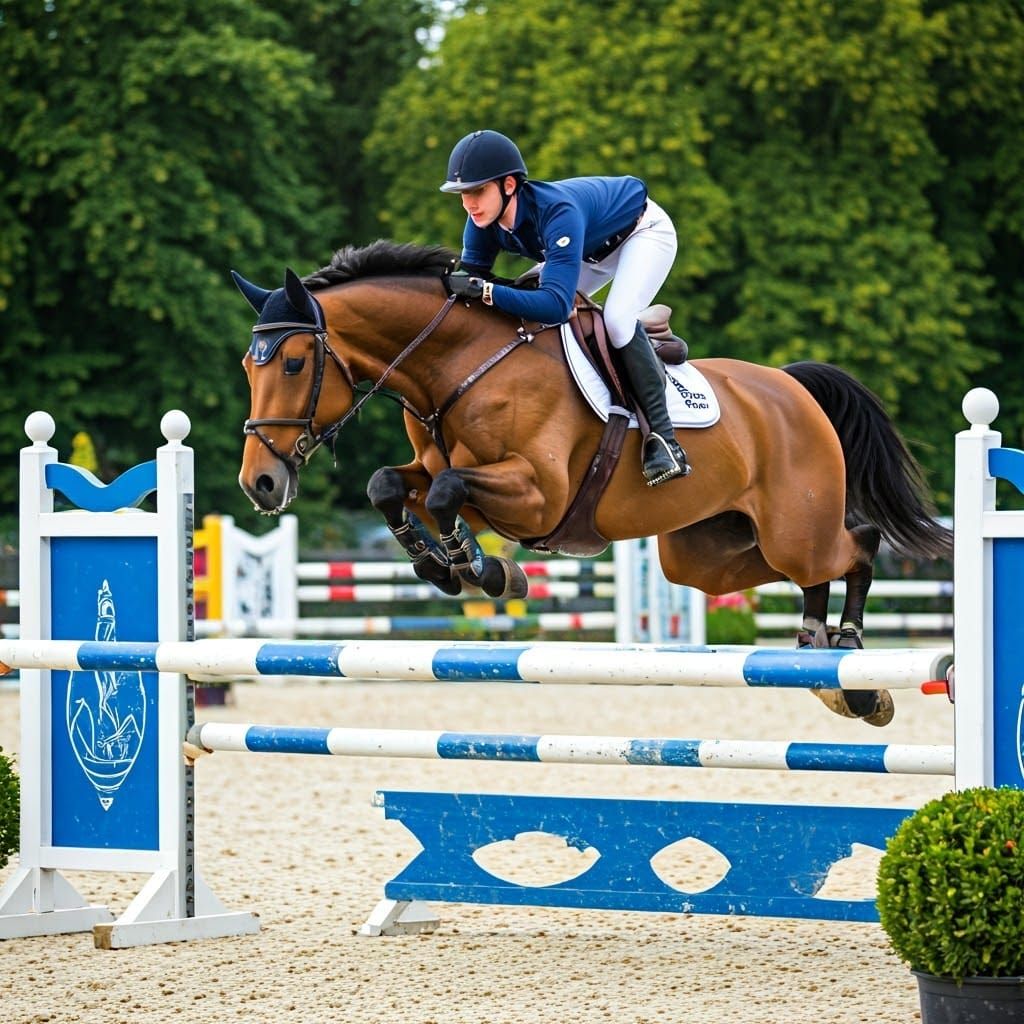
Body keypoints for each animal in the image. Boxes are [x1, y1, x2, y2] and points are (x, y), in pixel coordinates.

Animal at [232, 239, 952, 726]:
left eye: (293, 362)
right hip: (707, 554)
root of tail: (792, 387)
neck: (460, 362)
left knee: (855, 546)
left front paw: (484, 571)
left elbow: (445, 495)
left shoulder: (536, 494)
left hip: (792, 527)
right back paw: (819, 658)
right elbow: (391, 486)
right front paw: (450, 568)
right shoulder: (451, 476)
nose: (260, 484)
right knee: (806, 571)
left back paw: (854, 670)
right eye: (248, 364)